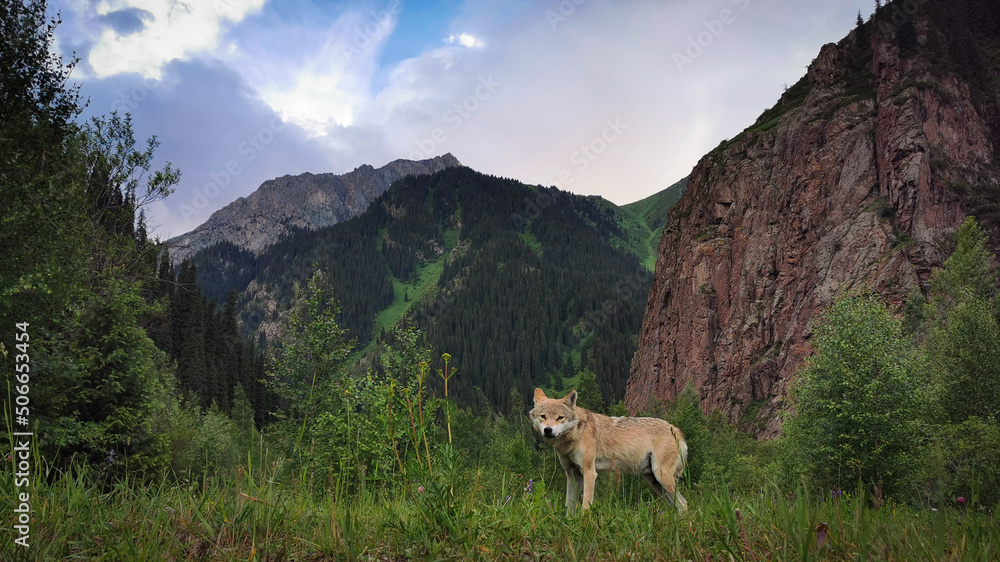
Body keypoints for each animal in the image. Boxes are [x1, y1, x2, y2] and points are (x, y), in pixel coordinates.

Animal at [532, 384, 688, 512]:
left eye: (560, 418)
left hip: (661, 476)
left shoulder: (589, 473)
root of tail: (677, 430)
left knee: (683, 504)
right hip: (655, 482)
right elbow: (569, 507)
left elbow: (585, 507)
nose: (548, 430)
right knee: (676, 506)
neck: (577, 433)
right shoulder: (572, 475)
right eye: (543, 416)